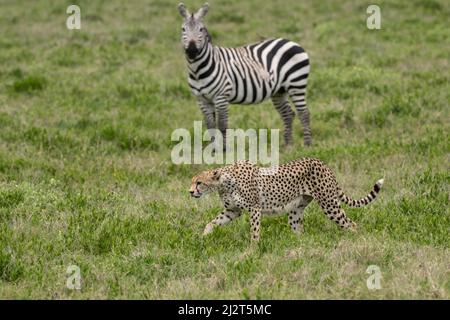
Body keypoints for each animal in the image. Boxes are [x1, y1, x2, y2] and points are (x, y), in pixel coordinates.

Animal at [178, 3, 312, 148]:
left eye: (201, 29)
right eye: (183, 29)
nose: (191, 51)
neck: (197, 71)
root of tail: (291, 41)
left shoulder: (221, 97)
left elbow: (222, 125)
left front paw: (223, 150)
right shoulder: (202, 100)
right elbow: (210, 125)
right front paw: (213, 150)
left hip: (296, 83)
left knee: (304, 113)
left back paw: (307, 145)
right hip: (279, 90)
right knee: (288, 114)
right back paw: (288, 146)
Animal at [190, 158, 384, 242]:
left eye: (199, 182)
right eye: (192, 182)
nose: (190, 192)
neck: (223, 182)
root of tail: (321, 162)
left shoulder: (254, 208)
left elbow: (254, 231)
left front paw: (253, 250)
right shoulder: (233, 211)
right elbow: (212, 222)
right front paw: (204, 236)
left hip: (329, 204)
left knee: (351, 224)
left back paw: (354, 241)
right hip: (296, 211)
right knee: (300, 230)